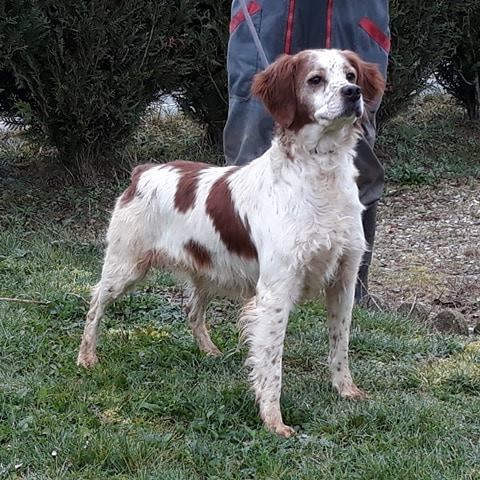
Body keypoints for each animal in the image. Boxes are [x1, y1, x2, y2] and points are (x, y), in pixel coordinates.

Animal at [77, 48, 385, 437]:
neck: (320, 174)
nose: (353, 93)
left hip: (208, 270)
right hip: (125, 266)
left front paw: (346, 390)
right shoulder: (275, 293)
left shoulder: (344, 281)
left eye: (350, 75)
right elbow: (272, 364)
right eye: (315, 79)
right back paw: (86, 356)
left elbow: (340, 345)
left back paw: (208, 350)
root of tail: (143, 172)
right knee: (95, 302)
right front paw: (274, 420)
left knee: (192, 309)